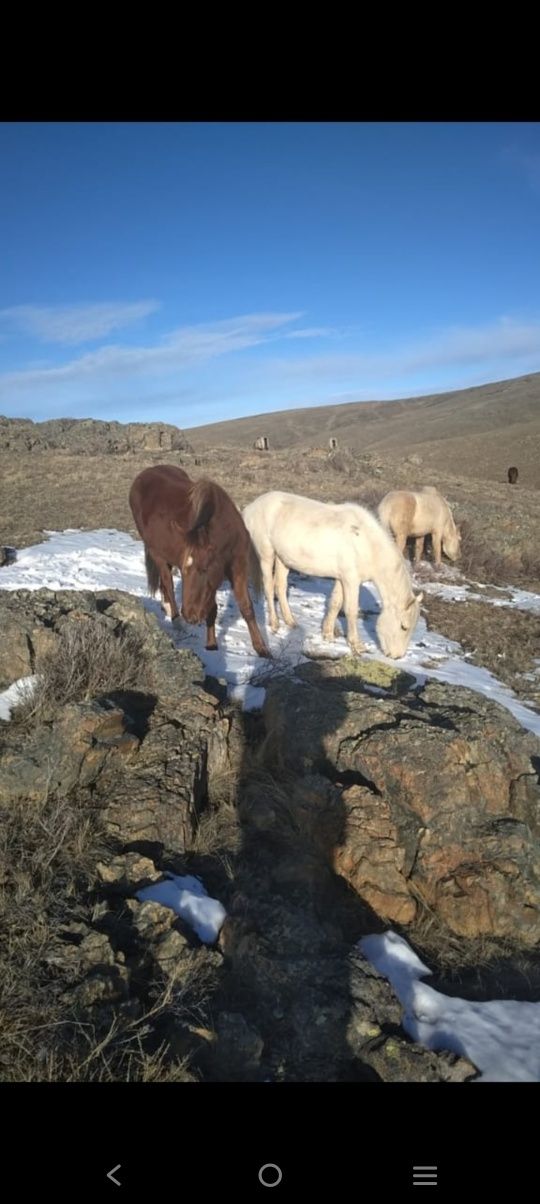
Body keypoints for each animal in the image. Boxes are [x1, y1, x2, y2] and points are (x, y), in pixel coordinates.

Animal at [128, 467, 271, 659]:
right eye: (185, 571)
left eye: (204, 569)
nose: (189, 615)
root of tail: (143, 475)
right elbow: (212, 609)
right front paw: (211, 645)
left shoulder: (238, 568)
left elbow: (246, 607)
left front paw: (261, 648)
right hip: (157, 553)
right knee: (168, 583)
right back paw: (175, 619)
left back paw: (167, 608)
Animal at [241, 488, 423, 659]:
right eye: (403, 626)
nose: (397, 656)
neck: (366, 543)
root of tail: (251, 507)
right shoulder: (351, 580)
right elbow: (350, 610)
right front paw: (357, 645)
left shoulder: (342, 579)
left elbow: (335, 603)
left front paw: (327, 634)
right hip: (267, 555)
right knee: (269, 587)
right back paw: (274, 623)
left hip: (283, 559)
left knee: (280, 586)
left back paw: (290, 621)